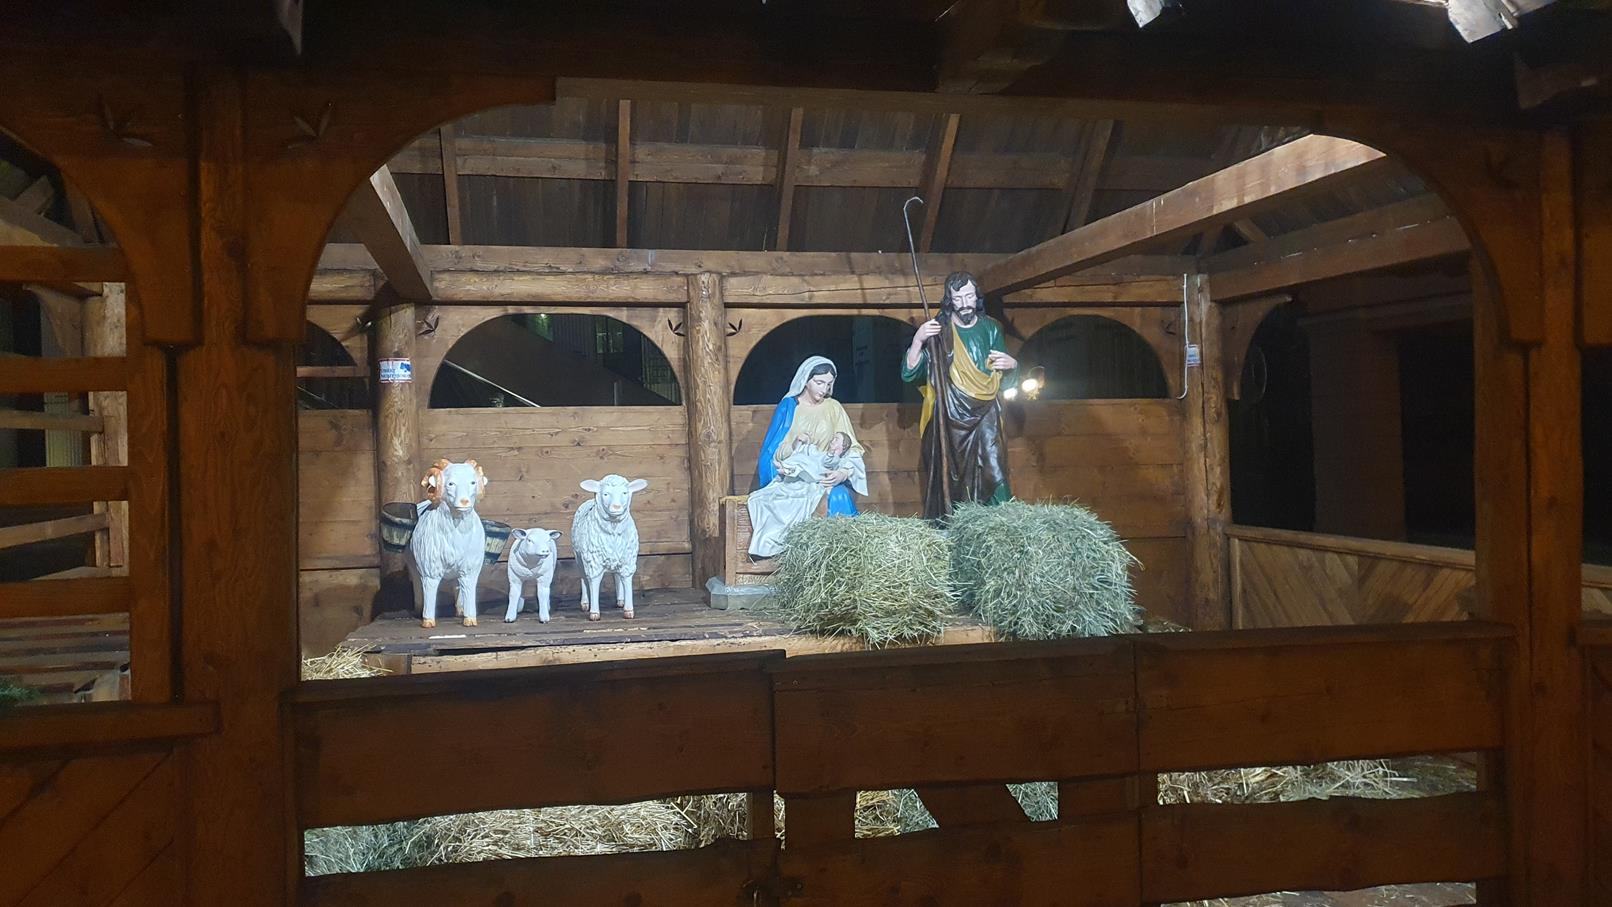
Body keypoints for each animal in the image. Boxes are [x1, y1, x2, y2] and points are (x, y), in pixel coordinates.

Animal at [408, 458, 488, 629]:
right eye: (450, 483)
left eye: (473, 482)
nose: (464, 502)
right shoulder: (430, 572)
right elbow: (430, 592)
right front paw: (428, 621)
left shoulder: (470, 570)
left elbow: (468, 591)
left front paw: (470, 619)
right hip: (413, 565)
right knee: (418, 585)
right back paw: (419, 609)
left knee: (458, 587)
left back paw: (460, 610)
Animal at [570, 474, 647, 621]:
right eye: (605, 494)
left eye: (625, 493)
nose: (616, 507)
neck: (613, 529)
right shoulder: (593, 562)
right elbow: (594, 583)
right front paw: (594, 613)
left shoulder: (627, 559)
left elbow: (626, 580)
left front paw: (628, 610)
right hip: (579, 557)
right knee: (583, 578)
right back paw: (585, 603)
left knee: (616, 576)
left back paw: (620, 600)